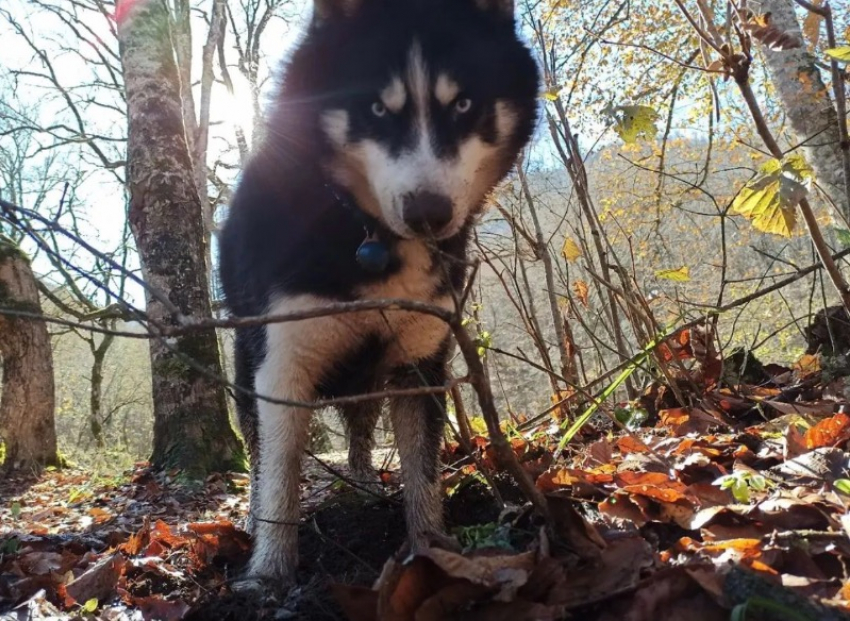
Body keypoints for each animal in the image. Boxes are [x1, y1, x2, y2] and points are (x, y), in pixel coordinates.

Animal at [217, 0, 536, 588]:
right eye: (376, 109)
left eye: (462, 104)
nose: (429, 213)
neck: (367, 236)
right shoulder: (283, 364)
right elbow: (279, 478)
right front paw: (269, 572)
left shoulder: (421, 361)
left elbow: (424, 470)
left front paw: (431, 547)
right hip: (247, 366)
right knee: (256, 447)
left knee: (361, 429)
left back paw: (364, 483)